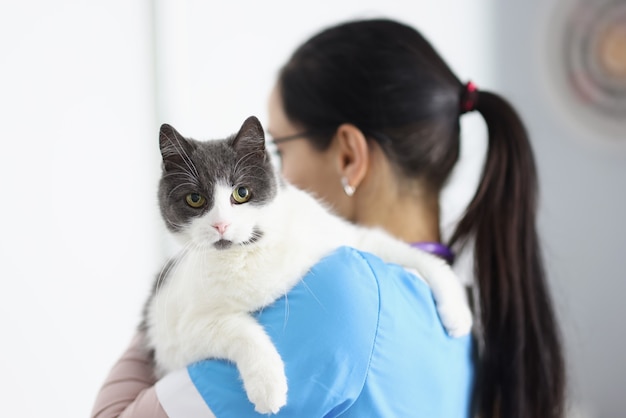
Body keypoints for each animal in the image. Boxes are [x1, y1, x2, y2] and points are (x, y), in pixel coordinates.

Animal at [141, 116, 470, 414]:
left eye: (241, 193)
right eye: (195, 199)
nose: (221, 225)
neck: (249, 252)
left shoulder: (345, 238)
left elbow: (405, 252)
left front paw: (458, 314)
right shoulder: (181, 332)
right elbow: (238, 329)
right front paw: (268, 386)